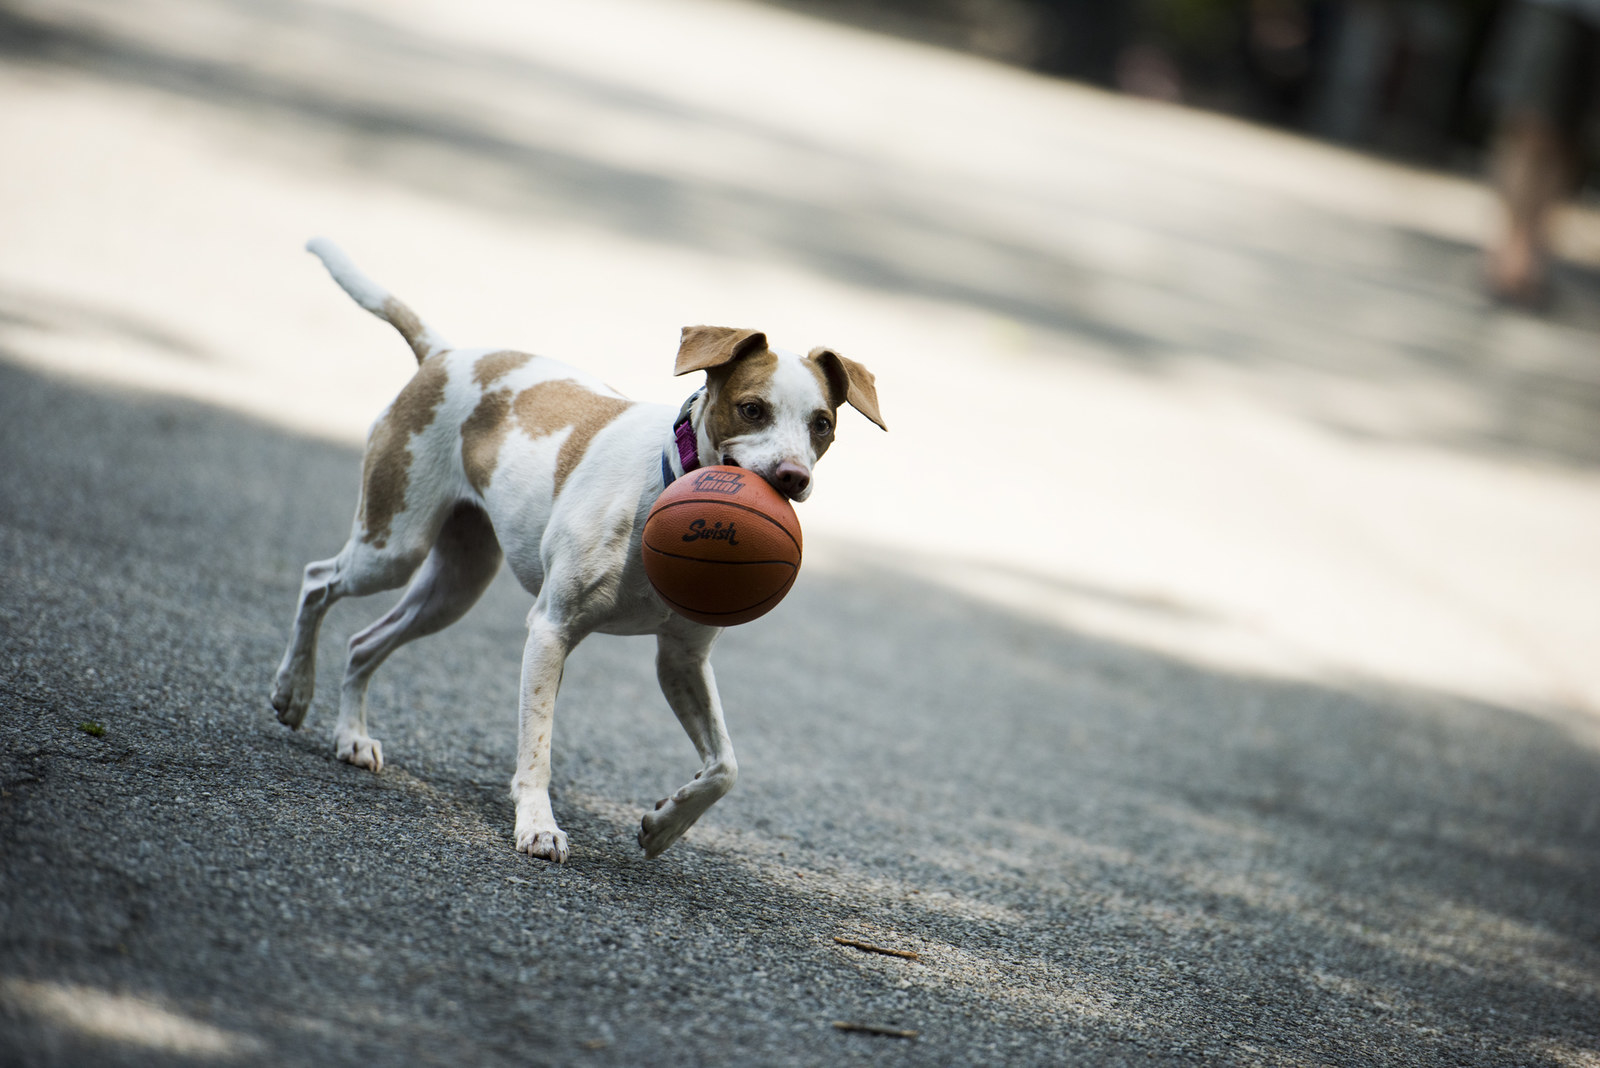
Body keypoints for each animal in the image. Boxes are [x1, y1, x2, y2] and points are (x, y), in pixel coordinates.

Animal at [268, 239, 883, 856]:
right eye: (752, 409)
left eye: (821, 425)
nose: (793, 477)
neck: (663, 482)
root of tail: (446, 355)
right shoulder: (551, 630)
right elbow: (538, 746)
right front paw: (538, 825)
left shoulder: (681, 658)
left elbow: (725, 767)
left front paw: (665, 823)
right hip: (393, 547)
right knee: (318, 580)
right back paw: (293, 691)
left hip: (454, 586)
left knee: (363, 643)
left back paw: (351, 735)